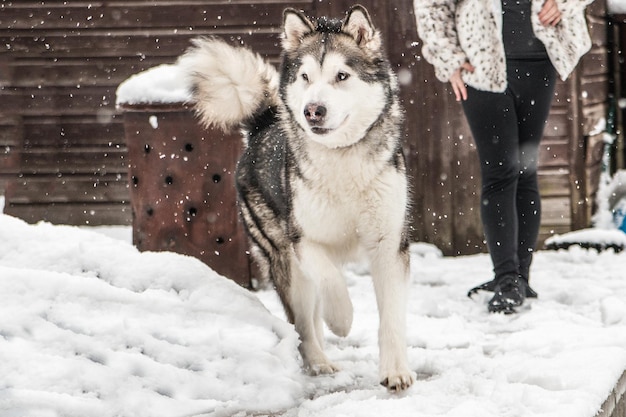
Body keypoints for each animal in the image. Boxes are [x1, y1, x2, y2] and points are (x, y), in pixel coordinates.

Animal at [179, 4, 414, 390]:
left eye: (341, 75)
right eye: (305, 76)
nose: (312, 110)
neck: (342, 160)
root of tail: (263, 124)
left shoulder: (390, 244)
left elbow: (392, 318)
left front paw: (395, 372)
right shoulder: (302, 239)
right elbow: (331, 279)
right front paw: (343, 319)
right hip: (284, 260)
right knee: (302, 322)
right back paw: (318, 360)